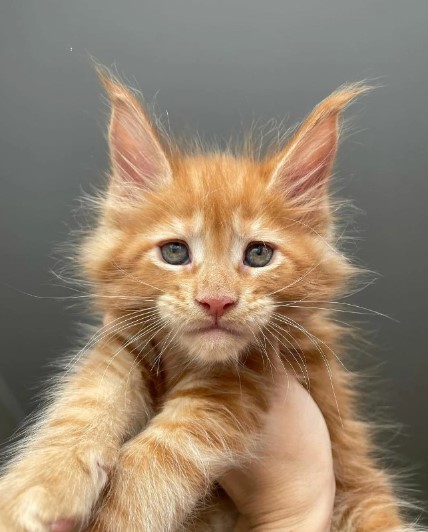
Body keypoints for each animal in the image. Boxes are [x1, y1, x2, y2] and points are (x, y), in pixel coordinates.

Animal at [0, 69, 414, 528]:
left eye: (258, 254)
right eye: (175, 252)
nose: (216, 302)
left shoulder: (247, 378)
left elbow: (160, 451)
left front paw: (113, 519)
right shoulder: (127, 341)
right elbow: (88, 398)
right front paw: (42, 482)